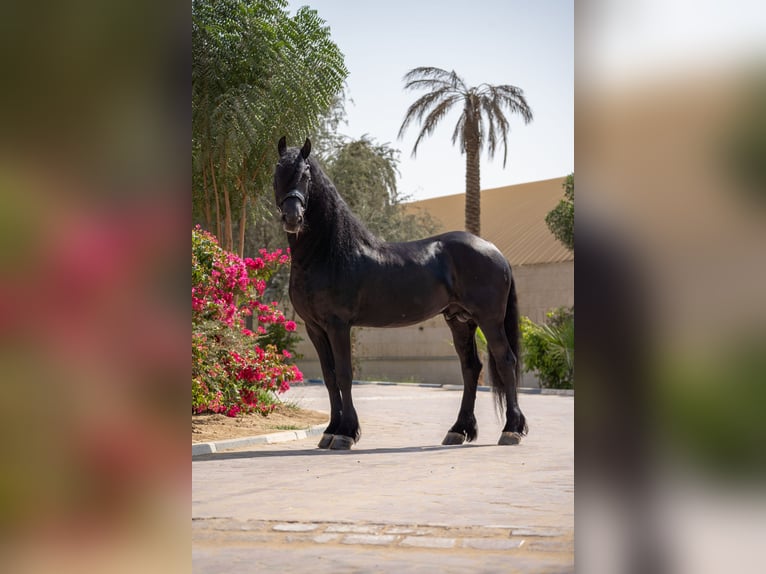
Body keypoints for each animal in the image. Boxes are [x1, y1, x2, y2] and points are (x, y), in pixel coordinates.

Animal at [273, 136, 527, 450]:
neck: (329, 254)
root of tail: (494, 251)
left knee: (505, 361)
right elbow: (329, 377)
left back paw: (511, 430)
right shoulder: (315, 328)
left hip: (489, 320)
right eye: (277, 173)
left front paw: (346, 433)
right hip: (460, 320)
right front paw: (330, 431)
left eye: (306, 176)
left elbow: (344, 375)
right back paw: (458, 431)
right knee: (471, 368)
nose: (292, 218)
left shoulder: (338, 325)